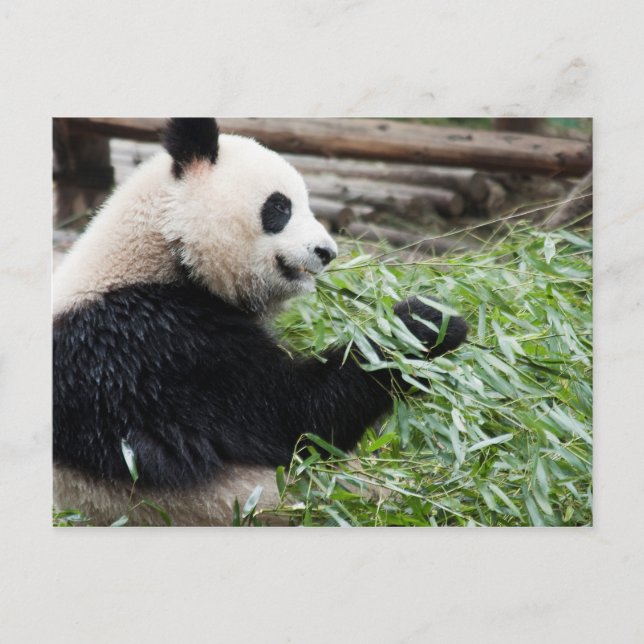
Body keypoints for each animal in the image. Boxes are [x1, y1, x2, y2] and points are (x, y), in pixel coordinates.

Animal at [53, 118, 467, 526]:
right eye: (280, 207)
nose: (327, 252)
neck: (158, 248)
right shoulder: (150, 346)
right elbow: (297, 419)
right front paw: (428, 322)